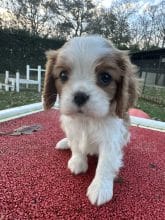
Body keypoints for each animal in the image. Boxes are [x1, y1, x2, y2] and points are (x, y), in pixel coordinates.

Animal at [42, 35, 138, 206]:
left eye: (105, 77)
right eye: (63, 75)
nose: (79, 96)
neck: (87, 120)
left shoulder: (111, 139)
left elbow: (105, 163)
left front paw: (100, 187)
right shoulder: (72, 129)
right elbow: (76, 147)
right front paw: (78, 162)